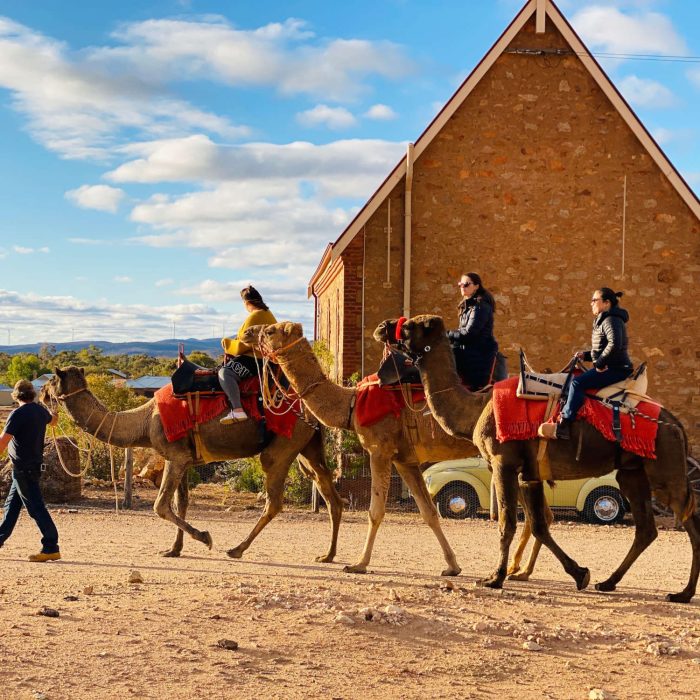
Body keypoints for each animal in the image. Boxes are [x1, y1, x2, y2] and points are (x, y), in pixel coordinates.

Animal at [40, 370, 342, 560]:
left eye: (52, 380)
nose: (39, 391)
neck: (143, 421)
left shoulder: (175, 456)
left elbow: (160, 506)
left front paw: (205, 537)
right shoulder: (184, 459)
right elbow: (181, 502)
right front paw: (173, 550)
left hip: (282, 446)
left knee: (275, 501)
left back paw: (237, 549)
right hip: (308, 446)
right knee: (330, 494)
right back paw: (327, 555)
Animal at [242, 320, 548, 576]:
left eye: (271, 330)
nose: (247, 332)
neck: (350, 404)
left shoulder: (380, 450)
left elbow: (375, 511)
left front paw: (359, 564)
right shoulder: (405, 460)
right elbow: (429, 513)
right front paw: (452, 566)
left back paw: (518, 570)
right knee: (541, 512)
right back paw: (521, 570)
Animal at [400, 316, 700, 600]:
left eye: (412, 326)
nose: (390, 327)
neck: (476, 409)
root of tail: (677, 425)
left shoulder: (503, 463)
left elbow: (507, 522)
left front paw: (494, 578)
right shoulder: (530, 474)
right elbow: (540, 525)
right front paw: (580, 574)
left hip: (665, 471)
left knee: (688, 520)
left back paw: (682, 594)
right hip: (632, 473)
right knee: (646, 528)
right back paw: (608, 582)